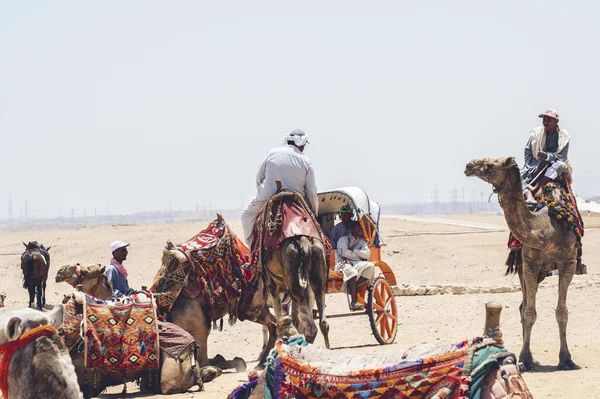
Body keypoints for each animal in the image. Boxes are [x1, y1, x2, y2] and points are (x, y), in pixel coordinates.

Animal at [466, 157, 580, 372]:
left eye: (492, 164)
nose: (469, 166)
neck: (547, 229)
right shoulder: (529, 264)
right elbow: (529, 313)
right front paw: (525, 359)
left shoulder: (567, 263)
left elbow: (562, 312)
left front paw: (566, 359)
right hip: (522, 268)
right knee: (523, 306)